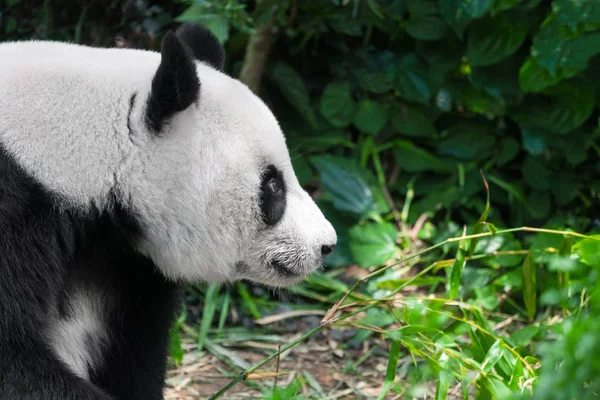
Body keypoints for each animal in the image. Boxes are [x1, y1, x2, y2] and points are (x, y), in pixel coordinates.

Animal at [0, 23, 338, 398]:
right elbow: (15, 362)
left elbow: (134, 351)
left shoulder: (124, 261)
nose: (326, 245)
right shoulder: (16, 206)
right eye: (273, 185)